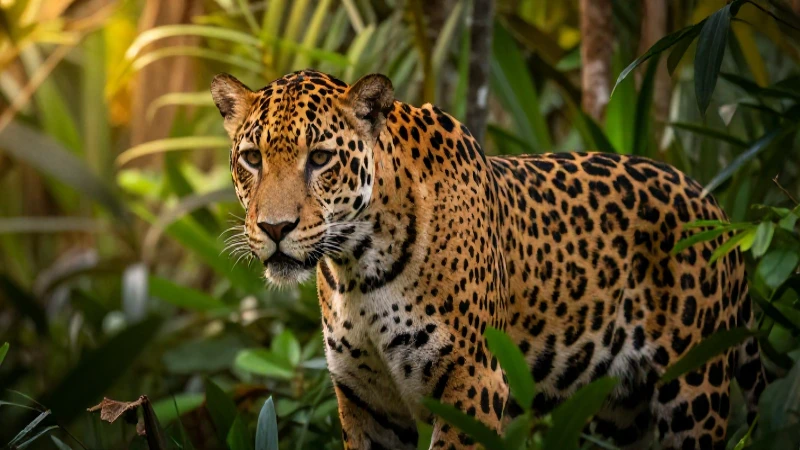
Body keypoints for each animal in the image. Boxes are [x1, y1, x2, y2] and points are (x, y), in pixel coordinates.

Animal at [210, 69, 767, 450]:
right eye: (252, 158)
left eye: (321, 159)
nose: (275, 229)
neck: (359, 268)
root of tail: (713, 203)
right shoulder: (367, 400)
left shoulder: (472, 384)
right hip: (618, 412)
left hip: (694, 390)